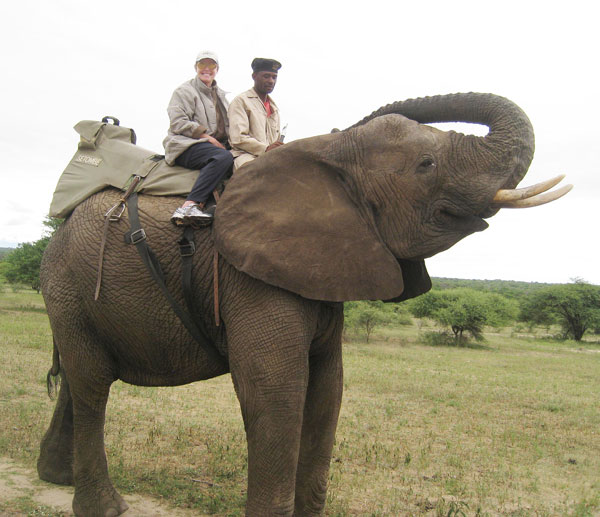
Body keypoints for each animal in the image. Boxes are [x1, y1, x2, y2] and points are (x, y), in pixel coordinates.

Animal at [35, 92, 568, 516]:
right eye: (426, 166)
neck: (326, 161)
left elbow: (327, 392)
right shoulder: (248, 277)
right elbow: (276, 392)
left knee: (80, 379)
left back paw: (55, 477)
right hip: (68, 283)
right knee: (92, 384)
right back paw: (104, 507)